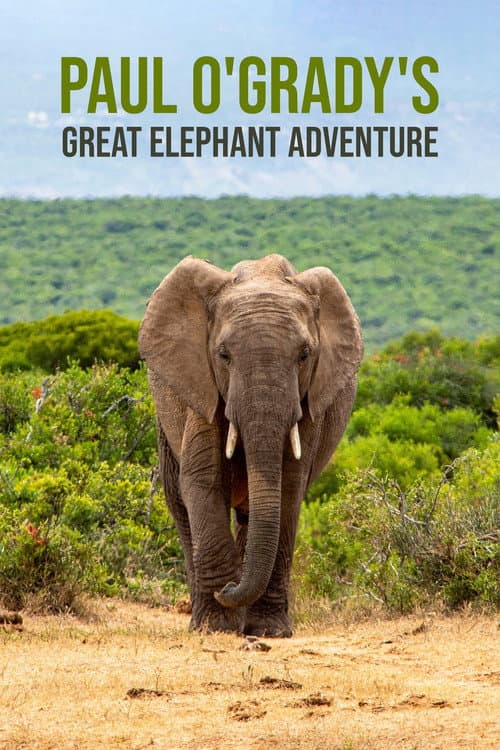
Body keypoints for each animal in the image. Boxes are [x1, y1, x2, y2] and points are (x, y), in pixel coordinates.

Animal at [138, 254, 363, 637]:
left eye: (305, 355)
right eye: (223, 355)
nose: (229, 588)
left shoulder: (309, 404)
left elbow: (288, 487)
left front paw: (268, 631)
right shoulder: (203, 389)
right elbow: (203, 481)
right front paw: (217, 626)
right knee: (179, 502)